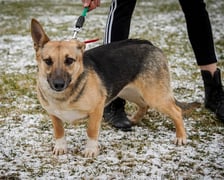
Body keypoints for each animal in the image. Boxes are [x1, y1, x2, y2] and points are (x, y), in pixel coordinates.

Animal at [30, 18, 186, 158]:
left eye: (69, 60)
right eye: (47, 61)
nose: (58, 84)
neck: (64, 95)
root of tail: (149, 44)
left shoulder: (97, 109)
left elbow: (91, 131)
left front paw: (91, 150)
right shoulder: (54, 114)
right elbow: (59, 131)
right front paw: (60, 147)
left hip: (154, 96)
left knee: (176, 111)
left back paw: (180, 137)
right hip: (129, 92)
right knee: (144, 105)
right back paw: (134, 119)